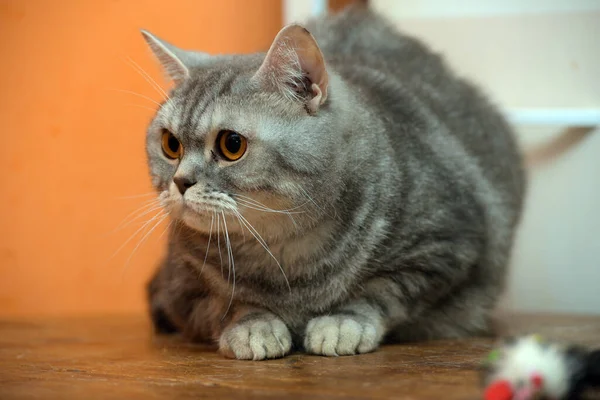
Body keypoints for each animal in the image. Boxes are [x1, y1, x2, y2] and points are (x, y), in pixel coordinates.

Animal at [142, 3, 524, 360]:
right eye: (170, 144)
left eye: (231, 144)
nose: (181, 182)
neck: (283, 252)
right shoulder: (182, 285)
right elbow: (227, 303)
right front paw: (253, 325)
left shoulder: (445, 247)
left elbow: (381, 291)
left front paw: (343, 322)